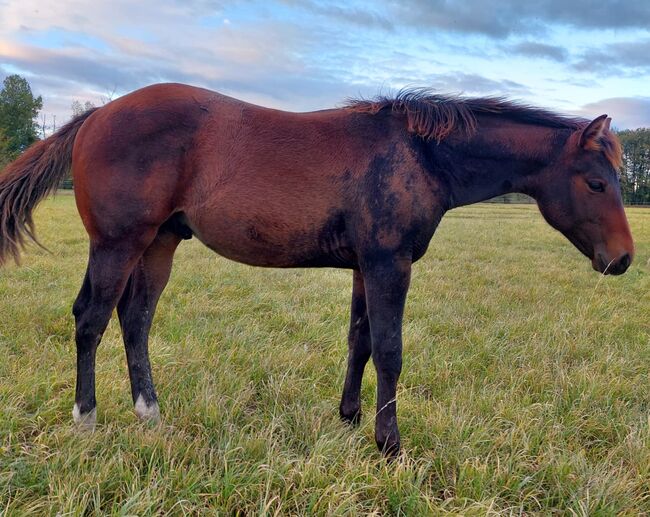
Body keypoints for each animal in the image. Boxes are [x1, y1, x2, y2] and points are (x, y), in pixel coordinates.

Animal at [0, 84, 632, 456]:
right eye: (596, 183)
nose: (623, 258)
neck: (419, 154)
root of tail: (97, 114)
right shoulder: (389, 264)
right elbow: (390, 349)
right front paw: (389, 444)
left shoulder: (365, 266)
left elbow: (360, 341)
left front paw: (349, 418)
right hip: (116, 243)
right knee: (91, 319)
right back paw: (86, 420)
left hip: (159, 243)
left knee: (135, 320)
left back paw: (149, 414)